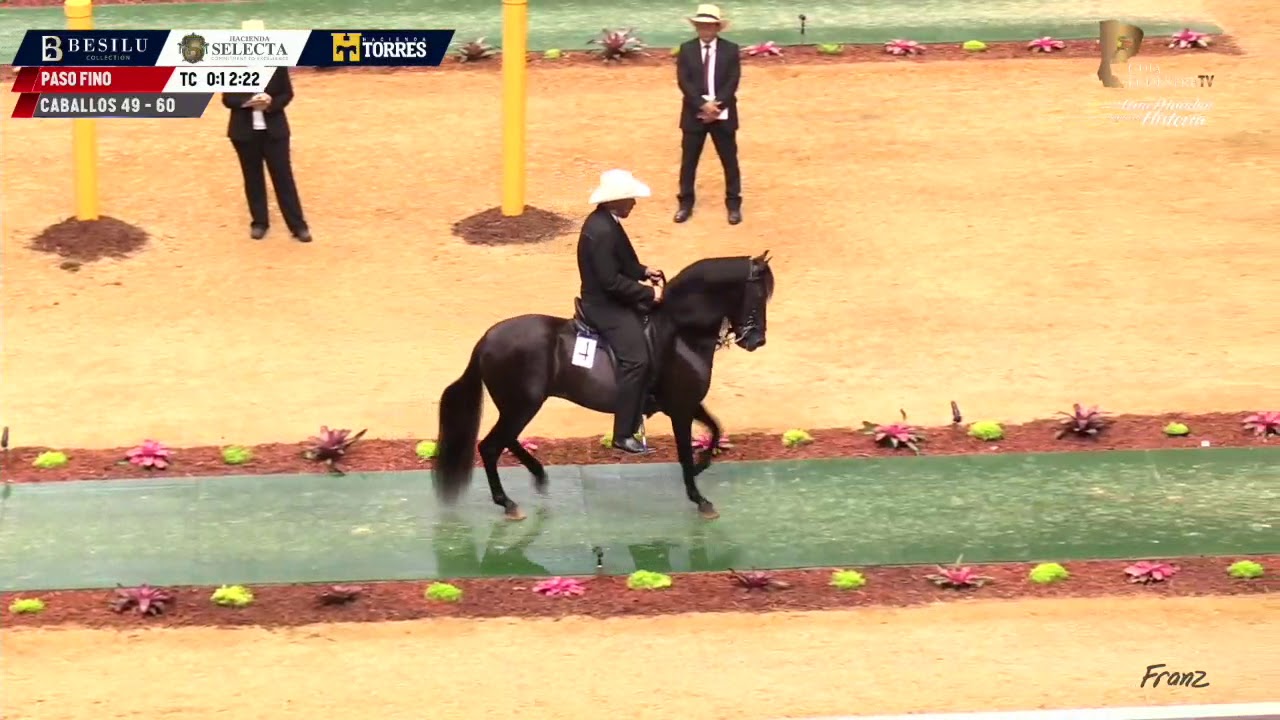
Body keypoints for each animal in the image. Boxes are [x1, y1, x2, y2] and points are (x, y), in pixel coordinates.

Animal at [432, 251, 775, 521]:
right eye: (758, 297)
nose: (757, 341)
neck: (681, 332)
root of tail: (486, 340)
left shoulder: (687, 403)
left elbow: (715, 429)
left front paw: (703, 467)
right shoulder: (680, 408)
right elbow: (685, 453)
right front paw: (700, 498)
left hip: (519, 406)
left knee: (507, 441)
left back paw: (538, 475)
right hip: (522, 405)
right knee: (491, 447)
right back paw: (508, 503)